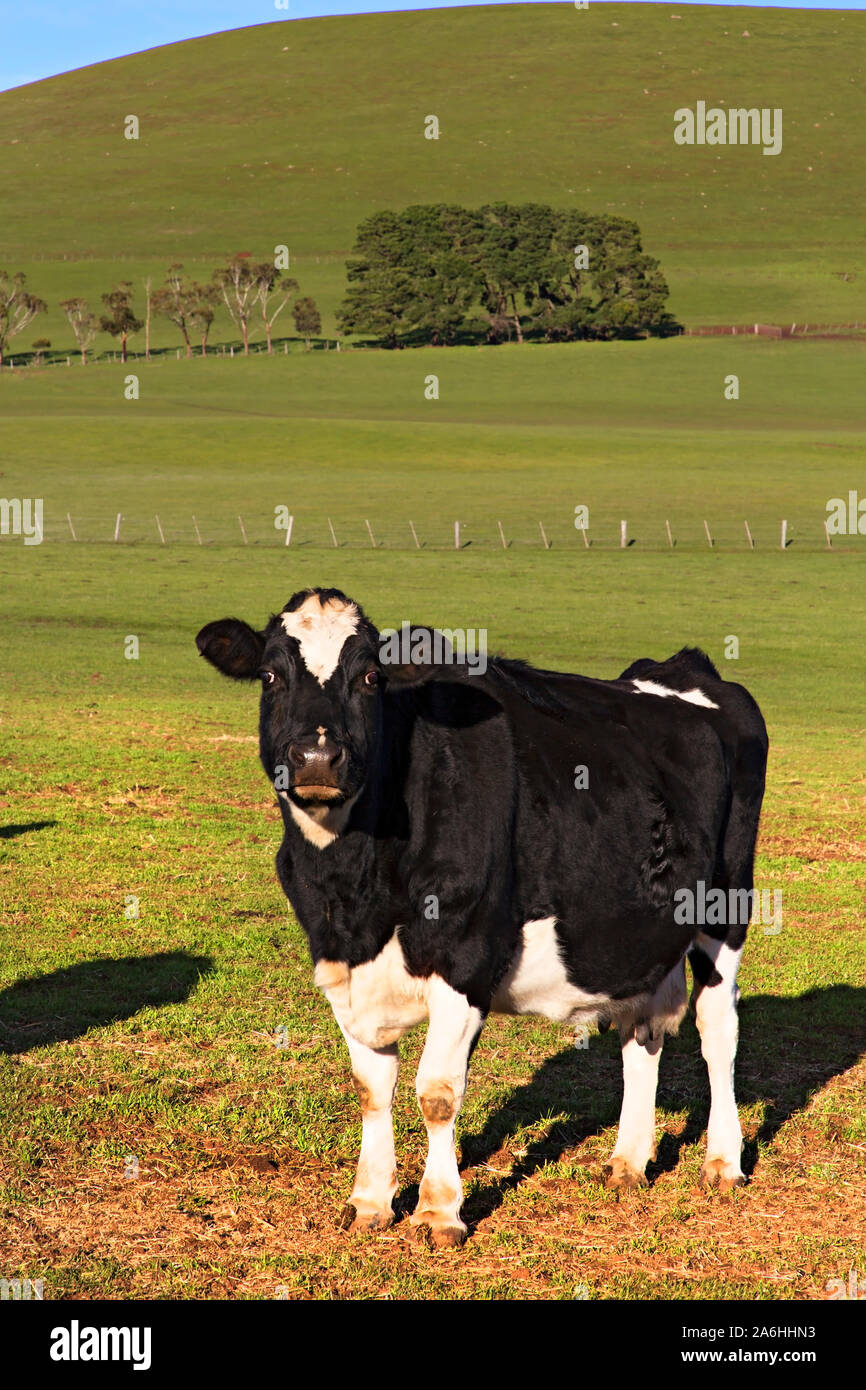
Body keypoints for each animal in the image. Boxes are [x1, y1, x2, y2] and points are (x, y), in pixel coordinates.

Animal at [194, 586, 767, 1251]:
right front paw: (370, 1201)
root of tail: (685, 668)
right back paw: (628, 1161)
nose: (316, 755)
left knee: (716, 1027)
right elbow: (372, 1087)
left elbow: (437, 1091)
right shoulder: (339, 961)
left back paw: (723, 1162)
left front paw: (438, 1212)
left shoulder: (466, 957)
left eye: (370, 676)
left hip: (725, 907)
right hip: (639, 934)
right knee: (643, 1030)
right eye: (269, 675)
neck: (356, 885)